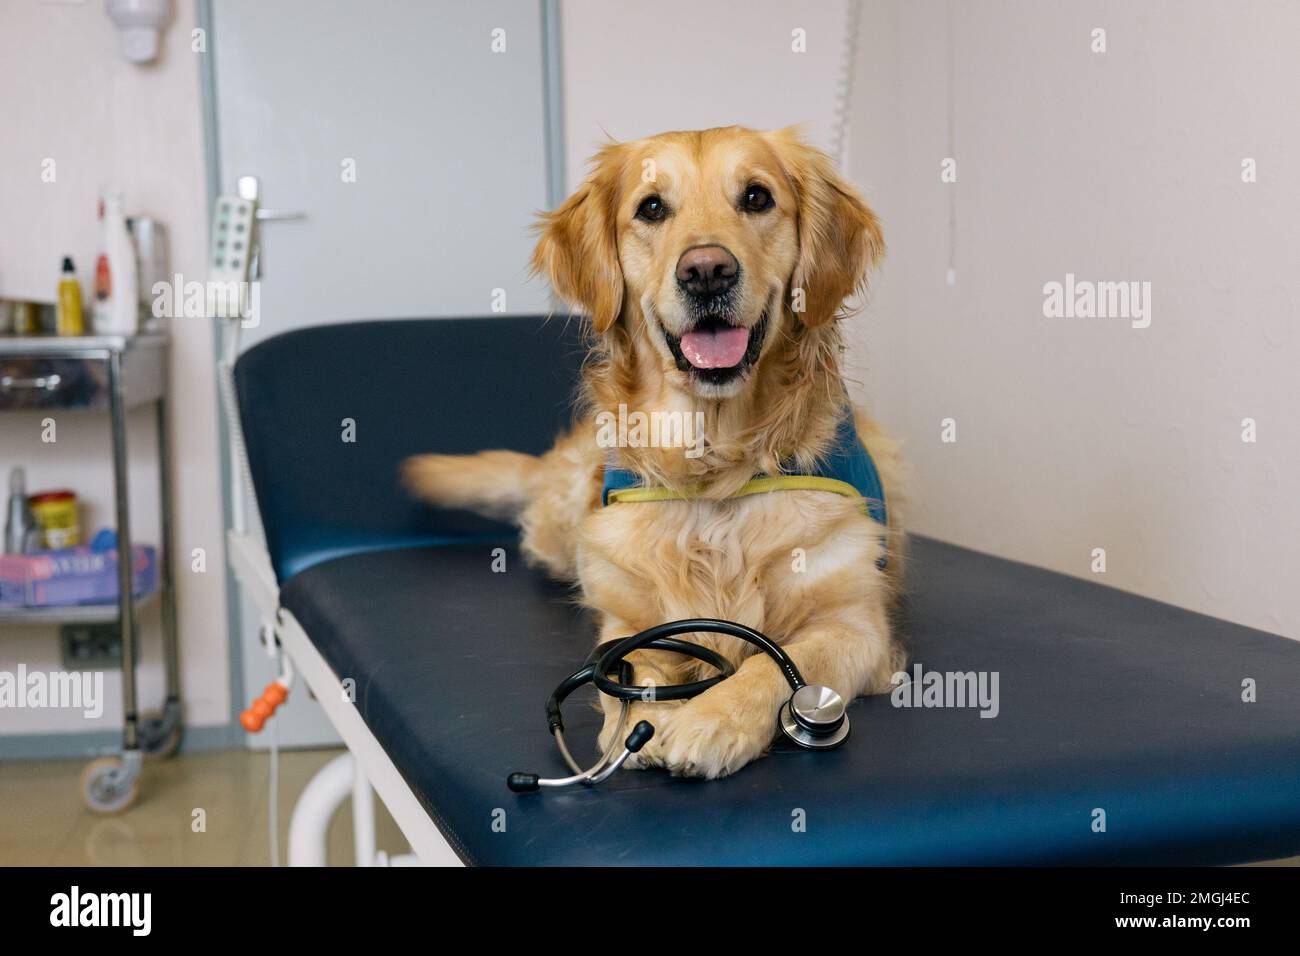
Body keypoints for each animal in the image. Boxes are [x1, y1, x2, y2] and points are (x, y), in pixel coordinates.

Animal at [403, 127, 904, 780]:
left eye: (757, 197)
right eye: (652, 208)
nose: (707, 271)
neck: (715, 466)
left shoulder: (858, 627)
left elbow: (771, 662)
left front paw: (714, 719)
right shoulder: (628, 618)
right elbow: (639, 658)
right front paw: (639, 723)